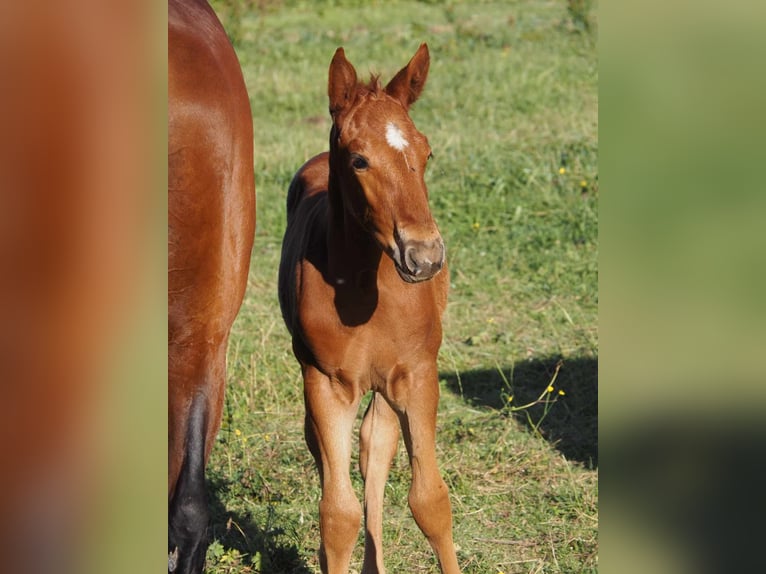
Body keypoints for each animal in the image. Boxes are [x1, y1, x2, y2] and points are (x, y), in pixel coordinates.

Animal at [280, 45, 464, 574]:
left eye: (426, 152)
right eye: (360, 160)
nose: (424, 257)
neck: (364, 289)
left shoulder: (418, 375)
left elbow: (430, 501)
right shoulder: (326, 383)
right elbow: (336, 513)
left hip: (387, 385)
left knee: (374, 449)